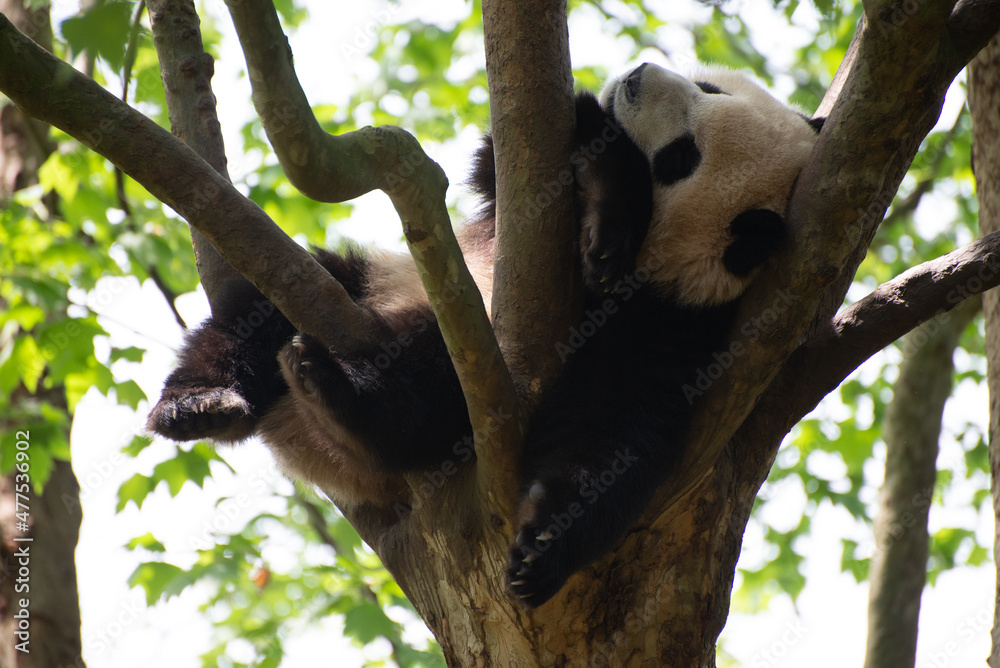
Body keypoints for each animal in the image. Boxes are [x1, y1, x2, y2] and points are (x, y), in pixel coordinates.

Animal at [146, 63, 822, 608]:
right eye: (710, 88)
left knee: (432, 387)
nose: (635, 79)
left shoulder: (676, 327)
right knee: (267, 312)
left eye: (681, 157)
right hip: (370, 284)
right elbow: (496, 164)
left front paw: (543, 549)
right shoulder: (513, 213)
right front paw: (604, 175)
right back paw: (201, 403)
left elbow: (612, 430)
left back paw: (340, 398)